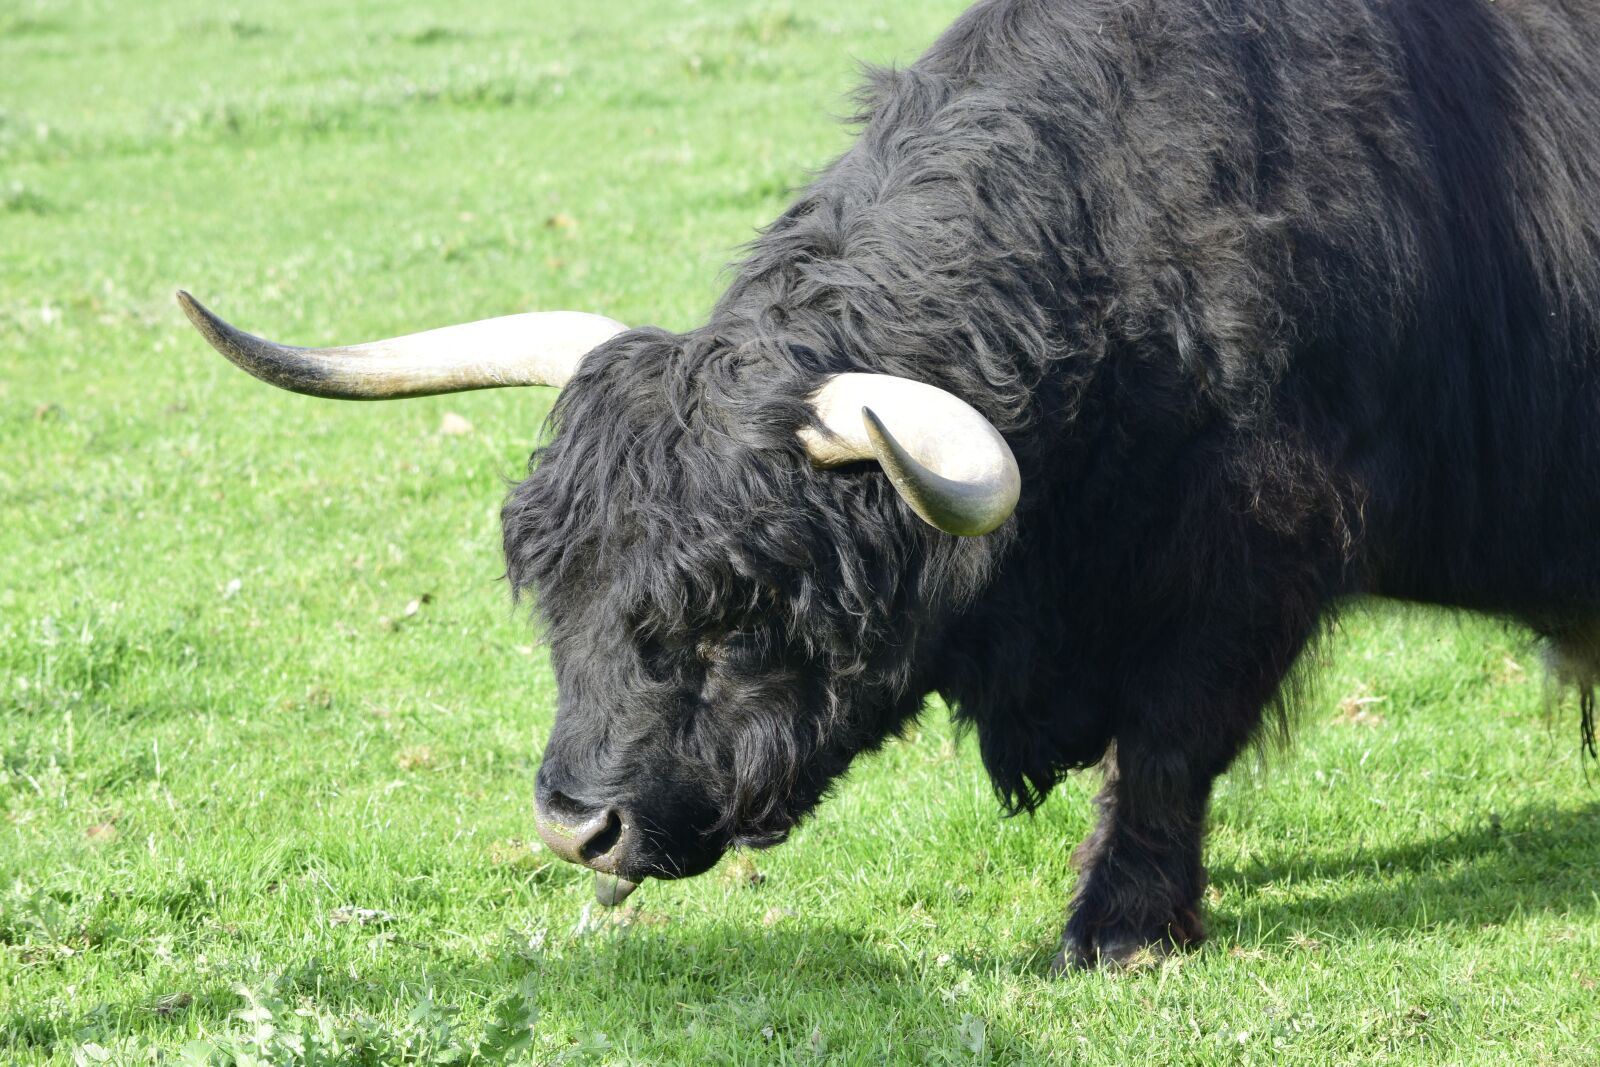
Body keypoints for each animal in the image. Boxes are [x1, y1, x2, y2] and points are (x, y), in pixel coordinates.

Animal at [179, 0, 1600, 969]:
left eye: (736, 610)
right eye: (555, 597)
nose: (576, 828)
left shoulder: (1259, 548)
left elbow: (1167, 742)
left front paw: (1118, 925)